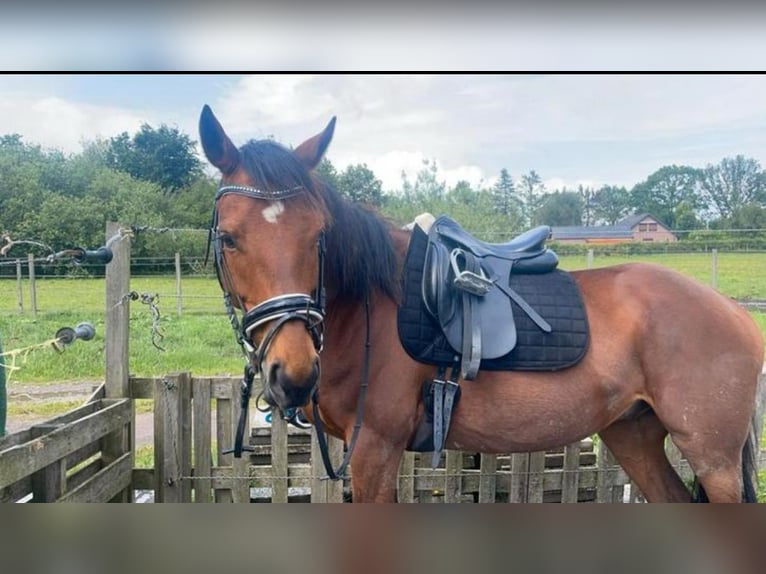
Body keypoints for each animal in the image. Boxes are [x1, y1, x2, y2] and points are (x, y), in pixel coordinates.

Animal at [200, 104, 766, 504]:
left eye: (319, 236)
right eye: (228, 238)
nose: (294, 372)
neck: (367, 308)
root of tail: (735, 311)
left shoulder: (375, 450)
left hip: (712, 457)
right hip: (633, 434)